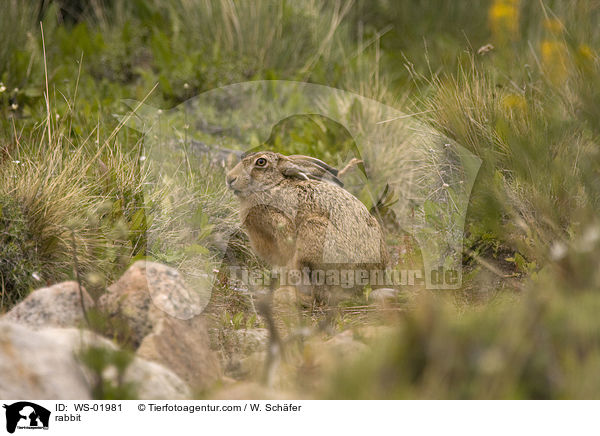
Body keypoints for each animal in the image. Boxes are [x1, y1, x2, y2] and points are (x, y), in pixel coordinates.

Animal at [225, 150, 390, 300]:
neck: (271, 186)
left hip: (314, 233)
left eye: (261, 162)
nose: (230, 178)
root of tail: (374, 274)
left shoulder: (282, 228)